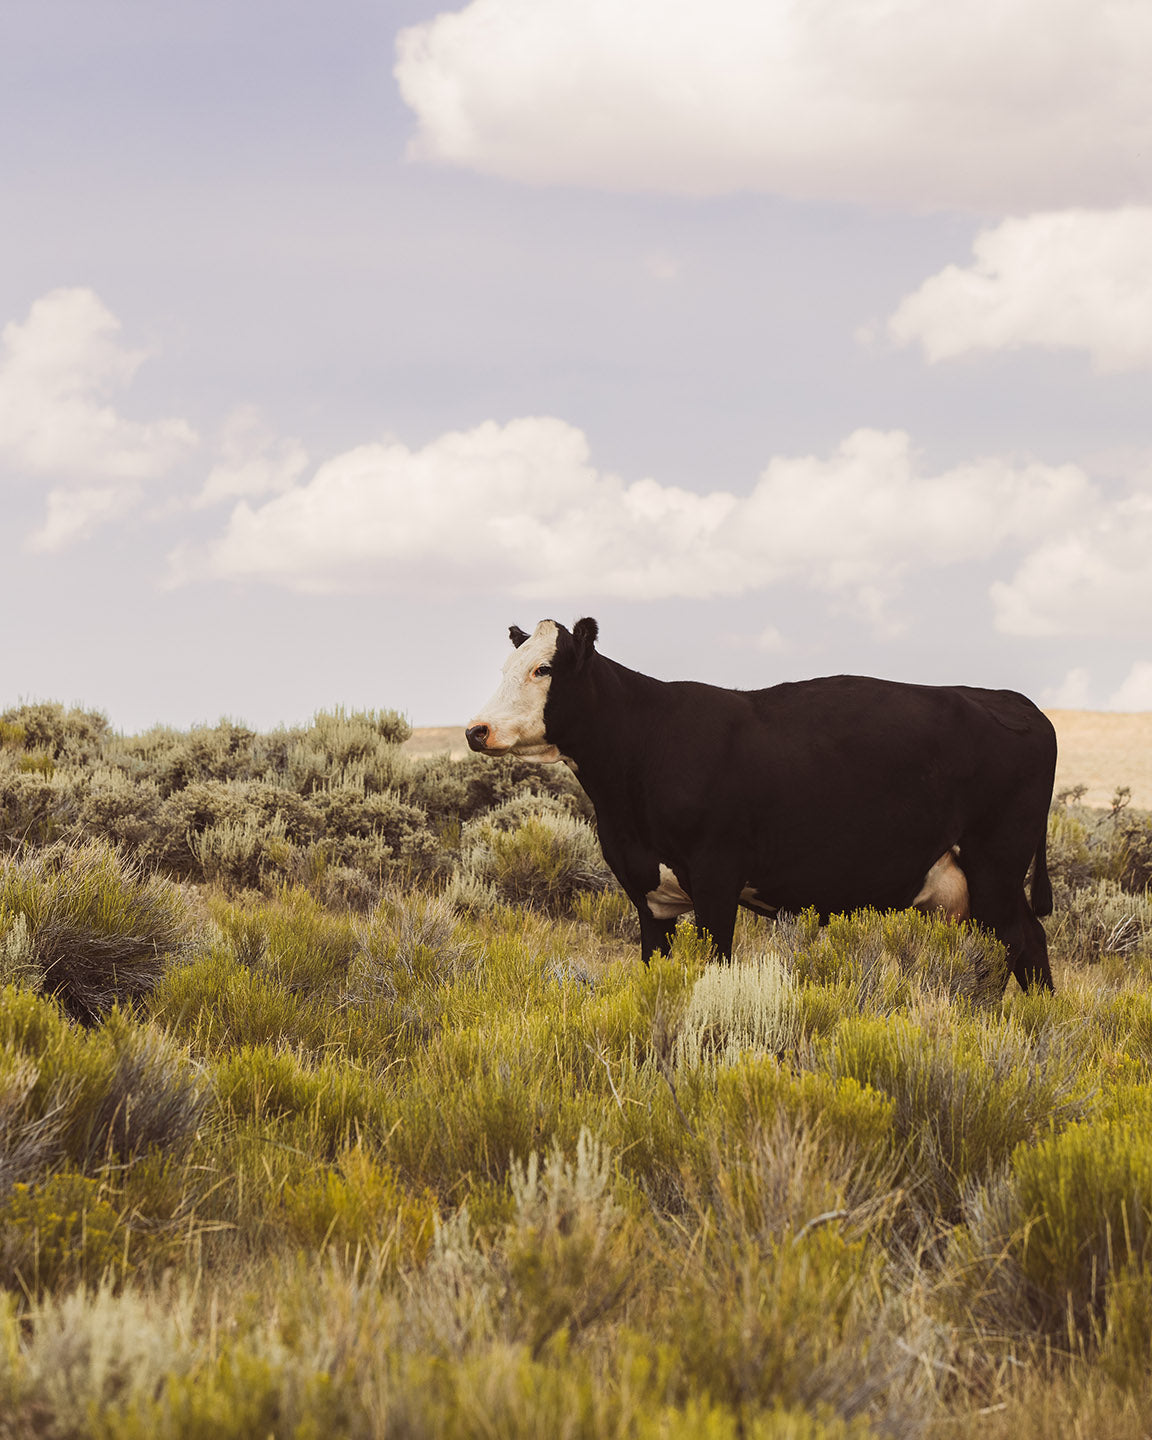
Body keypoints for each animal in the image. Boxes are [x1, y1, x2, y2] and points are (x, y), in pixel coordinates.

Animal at [463, 613, 1059, 996]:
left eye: (543, 669)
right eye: (505, 669)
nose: (476, 730)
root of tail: (1013, 701)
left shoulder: (716, 878)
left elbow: (717, 969)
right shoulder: (646, 894)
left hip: (996, 866)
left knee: (1026, 941)